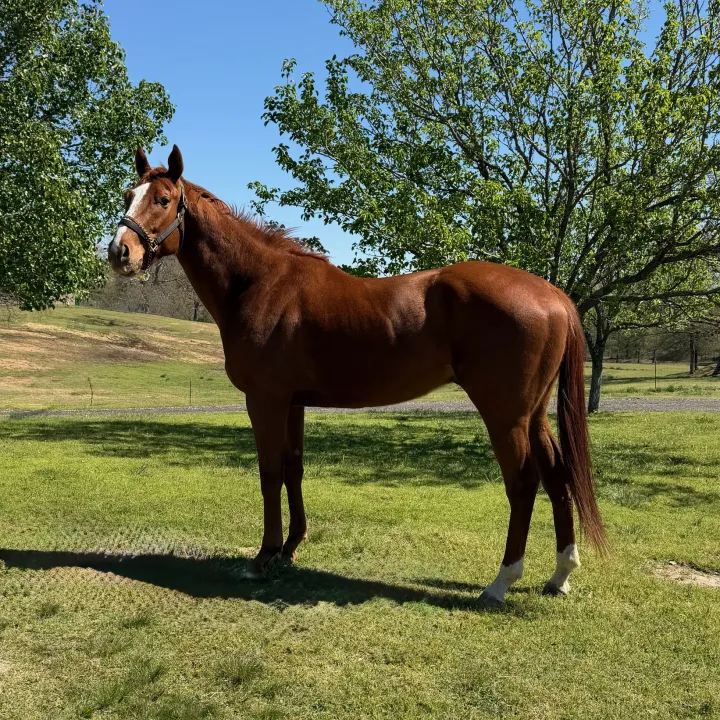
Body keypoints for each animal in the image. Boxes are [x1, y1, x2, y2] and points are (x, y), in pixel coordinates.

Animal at [107, 145, 606, 606]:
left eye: (164, 199)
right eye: (130, 195)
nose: (119, 252)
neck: (260, 283)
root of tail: (552, 295)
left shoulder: (264, 399)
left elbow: (269, 472)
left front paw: (264, 557)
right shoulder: (293, 402)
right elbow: (293, 467)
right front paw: (291, 547)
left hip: (505, 415)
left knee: (523, 484)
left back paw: (501, 583)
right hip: (533, 414)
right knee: (558, 476)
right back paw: (560, 576)